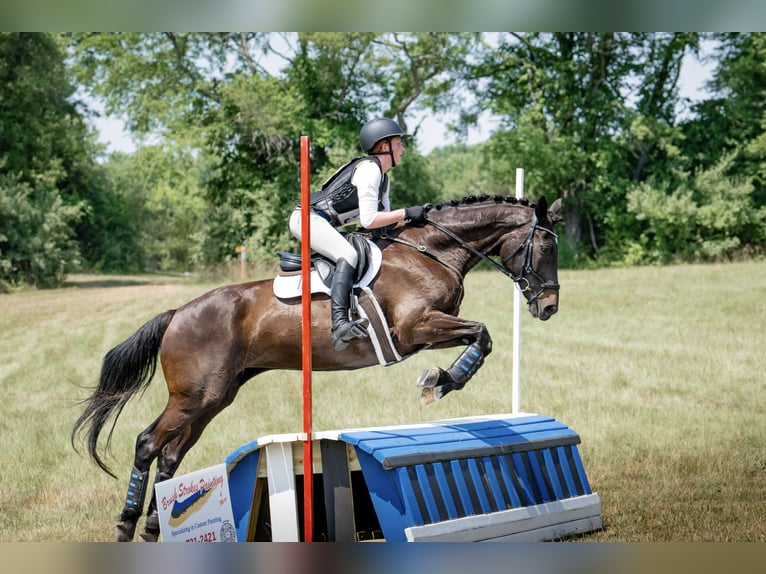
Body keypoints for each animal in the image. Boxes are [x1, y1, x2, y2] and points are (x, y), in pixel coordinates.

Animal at [70, 195, 564, 544]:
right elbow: (482, 333)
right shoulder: (416, 327)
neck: (430, 252)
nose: (549, 308)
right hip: (193, 396)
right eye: (544, 246)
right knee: (148, 442)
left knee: (172, 454)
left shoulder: (430, 330)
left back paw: (155, 527)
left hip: (214, 397)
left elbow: (481, 336)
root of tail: (177, 314)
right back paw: (126, 525)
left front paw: (443, 379)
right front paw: (439, 382)